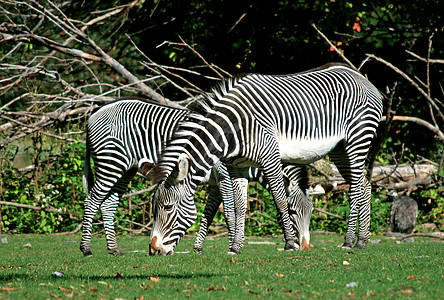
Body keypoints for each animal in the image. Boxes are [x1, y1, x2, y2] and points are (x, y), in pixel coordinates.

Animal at [80, 98, 310, 255]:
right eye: (292, 212)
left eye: (311, 213)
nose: (306, 248)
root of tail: (94, 113)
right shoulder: (224, 175)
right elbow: (229, 213)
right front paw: (232, 247)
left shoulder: (215, 182)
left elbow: (209, 213)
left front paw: (199, 247)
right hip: (111, 163)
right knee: (92, 200)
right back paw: (86, 248)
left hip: (125, 170)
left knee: (108, 204)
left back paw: (114, 249)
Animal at [150, 63, 386, 255]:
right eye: (155, 208)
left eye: (168, 207)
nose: (153, 250)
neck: (233, 129)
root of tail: (361, 78)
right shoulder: (237, 167)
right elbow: (239, 207)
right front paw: (235, 247)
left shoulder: (270, 158)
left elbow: (280, 200)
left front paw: (290, 243)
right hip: (340, 148)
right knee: (365, 184)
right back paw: (362, 240)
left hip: (357, 138)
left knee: (355, 188)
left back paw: (348, 240)